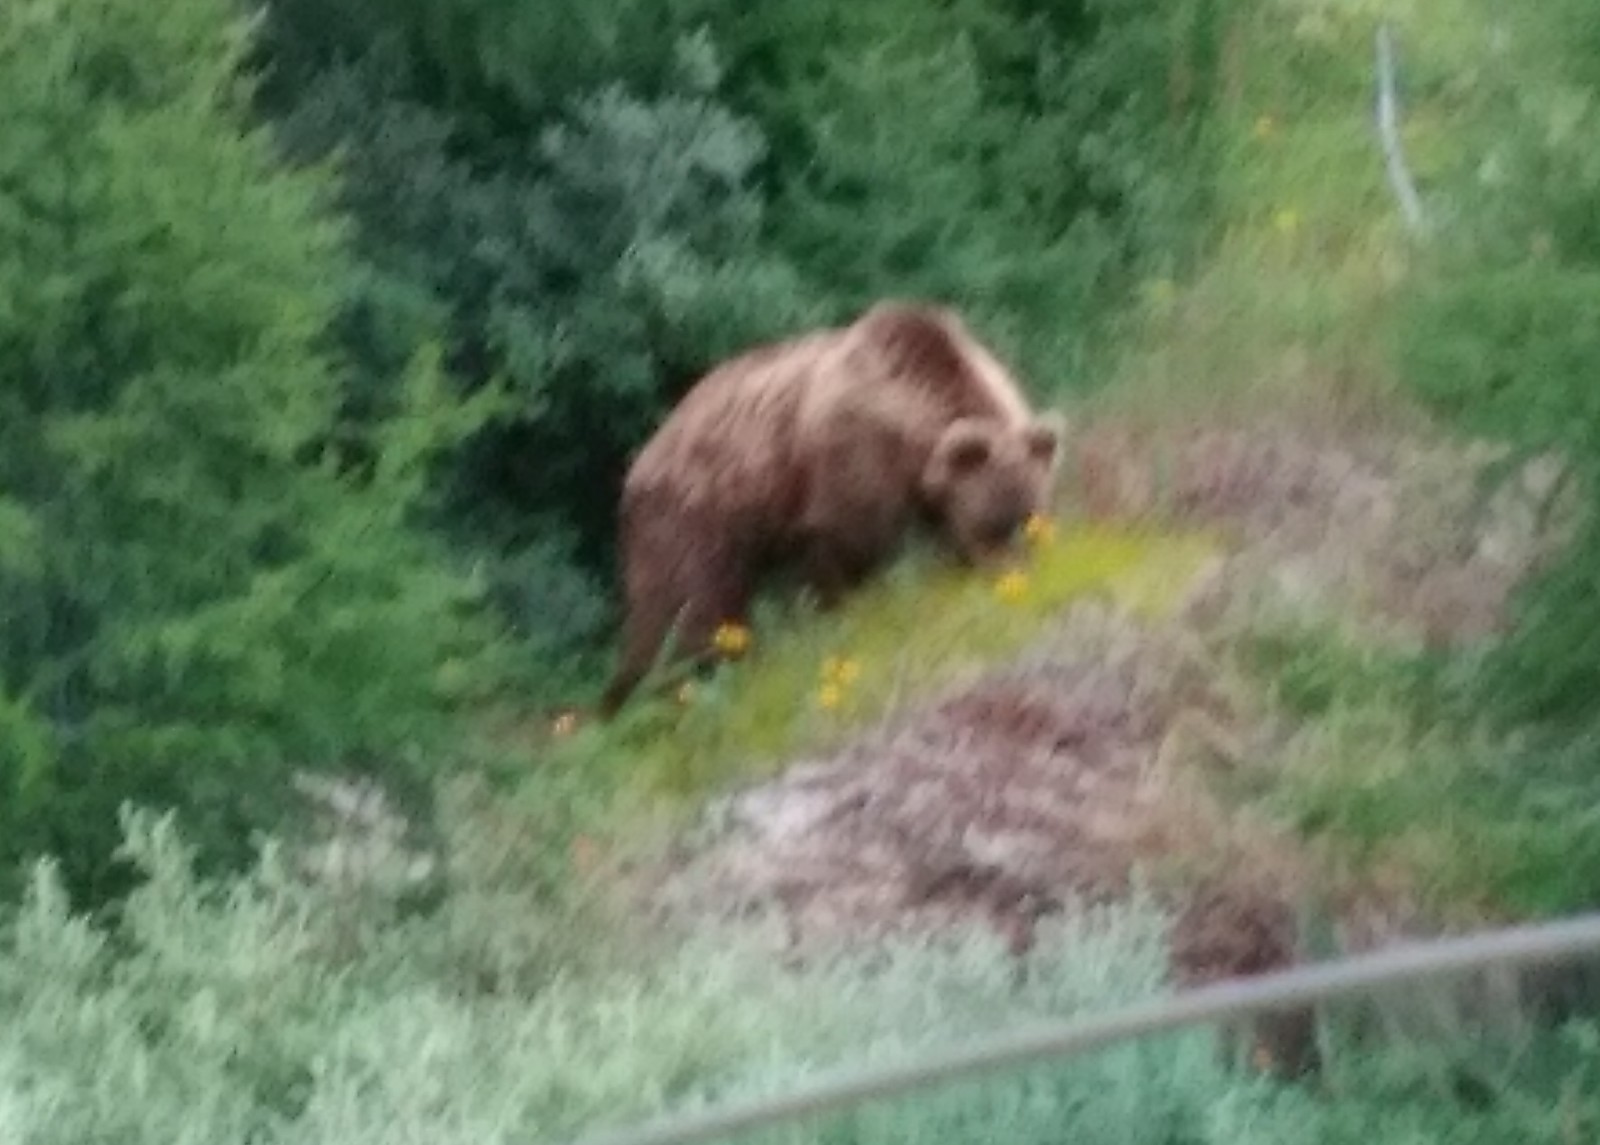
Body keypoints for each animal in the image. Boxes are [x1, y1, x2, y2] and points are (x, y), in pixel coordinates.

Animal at [595, 302, 1068, 716]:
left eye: (1028, 520)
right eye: (992, 525)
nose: (1017, 577)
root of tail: (641, 459)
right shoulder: (852, 462)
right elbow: (845, 547)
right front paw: (844, 617)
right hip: (694, 512)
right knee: (681, 607)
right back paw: (648, 693)